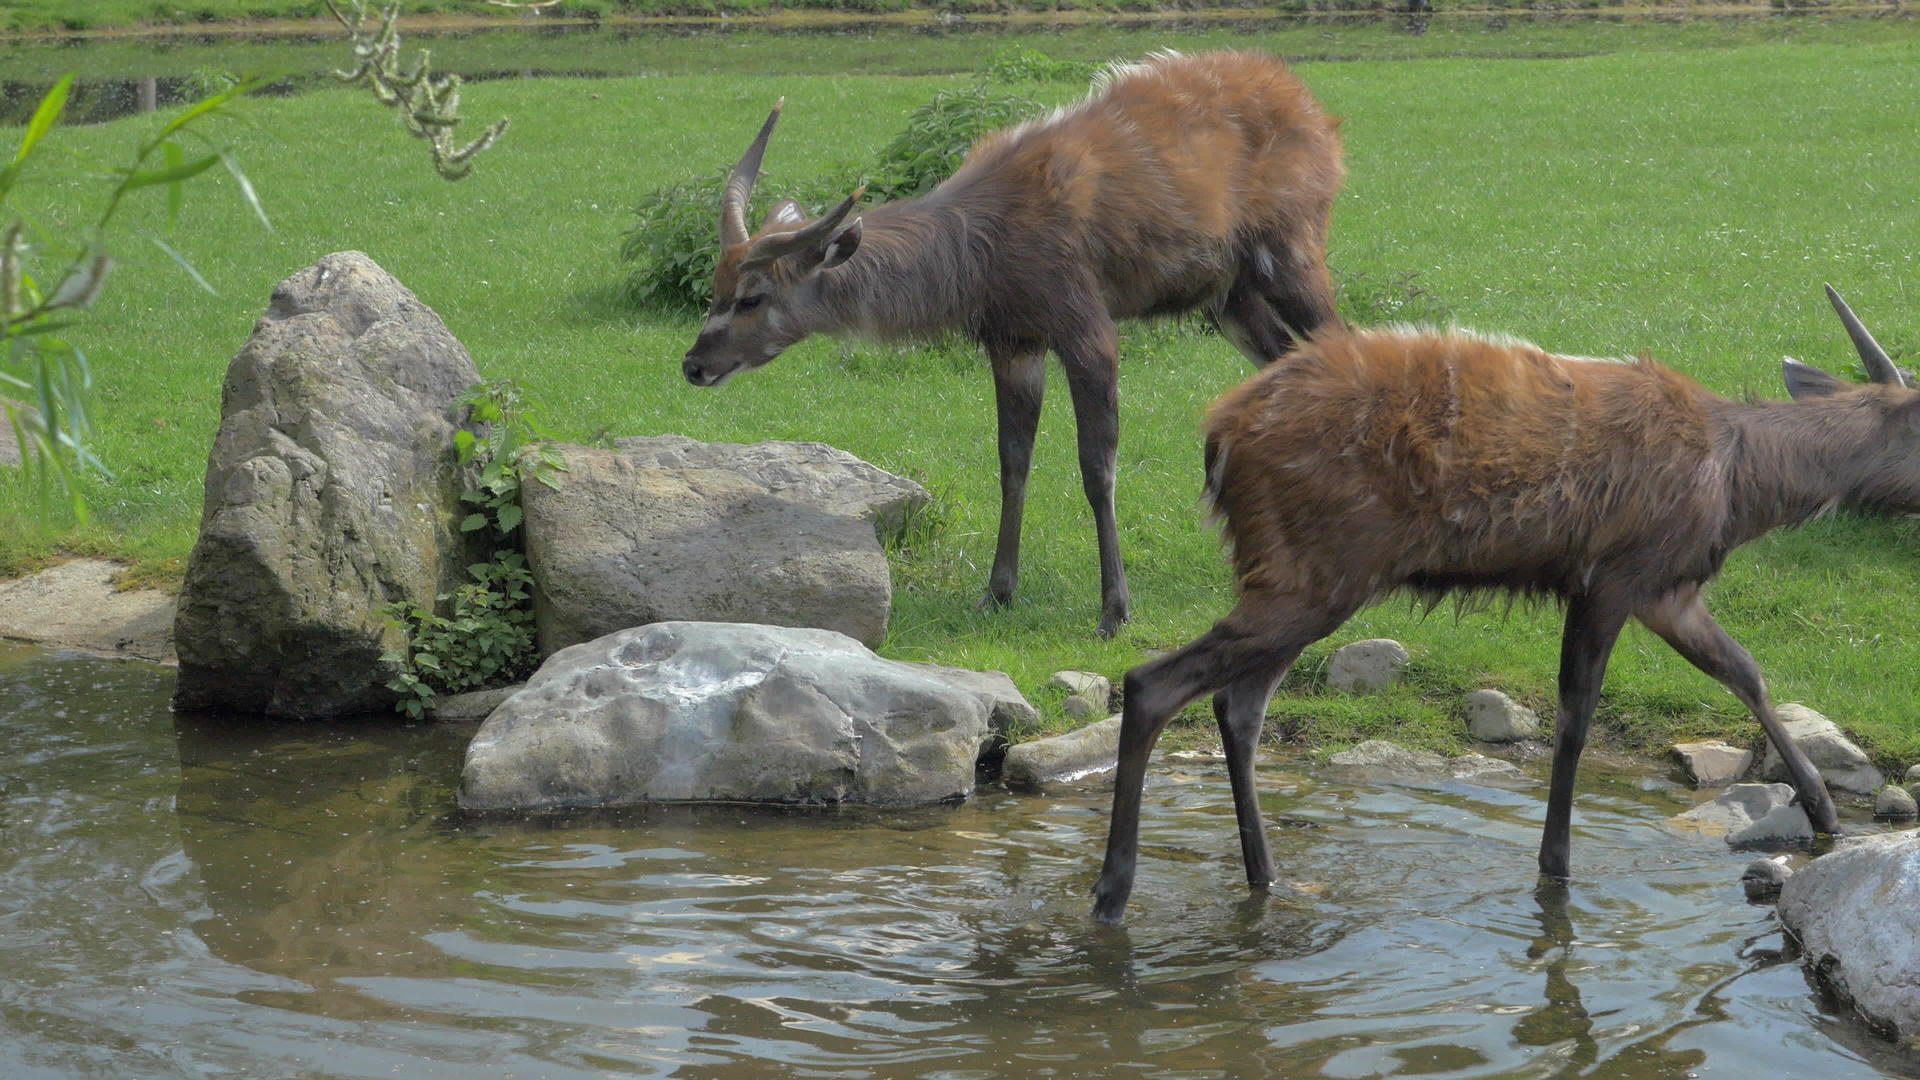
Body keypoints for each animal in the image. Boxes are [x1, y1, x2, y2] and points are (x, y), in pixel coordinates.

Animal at [683, 50, 1344, 634]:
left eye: (752, 297)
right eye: (714, 289)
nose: (694, 365)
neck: (983, 235)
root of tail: (1311, 107)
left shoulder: (1088, 332)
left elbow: (1096, 467)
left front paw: (1114, 611)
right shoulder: (1014, 342)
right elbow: (1012, 461)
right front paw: (996, 593)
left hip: (1290, 258)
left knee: (1341, 343)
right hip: (1230, 299)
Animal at [1090, 288, 1912, 926]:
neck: (1740, 488)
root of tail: (1218, 435)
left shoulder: (1667, 590)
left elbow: (1745, 671)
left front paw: (1825, 812)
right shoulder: (1615, 573)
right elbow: (1577, 716)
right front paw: (1557, 866)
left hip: (1297, 574)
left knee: (1238, 703)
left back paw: (1265, 877)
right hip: (1312, 570)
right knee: (1154, 681)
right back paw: (1112, 893)